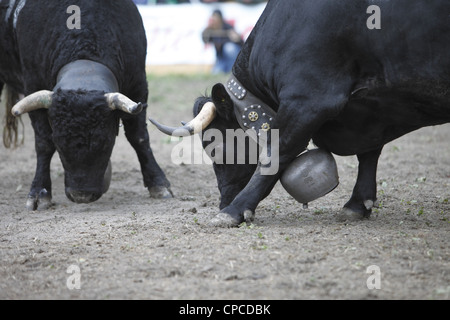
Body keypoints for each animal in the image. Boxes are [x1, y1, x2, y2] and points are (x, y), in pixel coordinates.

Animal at [0, 0, 172, 210]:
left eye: (106, 142)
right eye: (59, 143)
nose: (81, 196)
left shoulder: (138, 85)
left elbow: (138, 137)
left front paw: (158, 183)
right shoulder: (33, 86)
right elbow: (43, 143)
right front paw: (39, 193)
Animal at [151, 0, 450, 226]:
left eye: (216, 148)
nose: (223, 201)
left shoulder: (307, 99)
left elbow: (275, 154)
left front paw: (233, 211)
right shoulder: (371, 110)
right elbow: (369, 154)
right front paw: (357, 204)